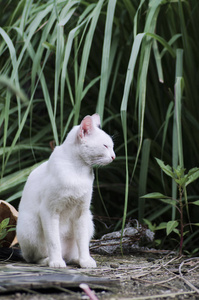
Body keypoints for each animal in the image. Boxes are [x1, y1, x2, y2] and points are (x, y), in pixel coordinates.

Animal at [16, 113, 116, 268]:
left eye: (112, 146)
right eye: (105, 146)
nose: (114, 156)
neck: (78, 171)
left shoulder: (82, 212)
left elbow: (82, 243)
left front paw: (86, 261)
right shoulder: (49, 211)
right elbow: (54, 242)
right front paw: (56, 262)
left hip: (89, 221)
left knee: (72, 254)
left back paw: (77, 260)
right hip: (29, 227)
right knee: (33, 257)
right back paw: (49, 260)